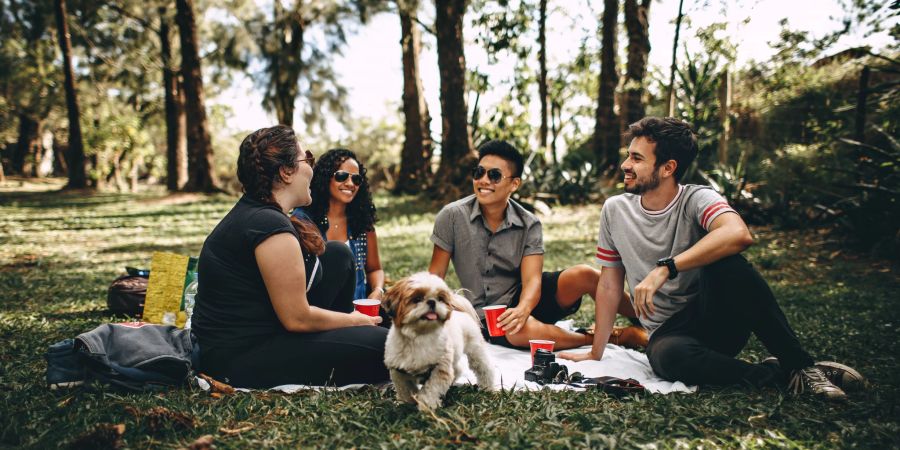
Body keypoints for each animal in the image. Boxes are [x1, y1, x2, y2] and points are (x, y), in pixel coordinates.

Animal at [382, 270, 496, 412]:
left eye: (440, 299)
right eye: (417, 299)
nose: (432, 302)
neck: (419, 336)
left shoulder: (440, 368)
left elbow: (431, 389)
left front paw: (427, 406)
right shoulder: (398, 370)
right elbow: (405, 389)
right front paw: (406, 403)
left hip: (475, 350)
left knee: (484, 369)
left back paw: (488, 387)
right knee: (457, 369)